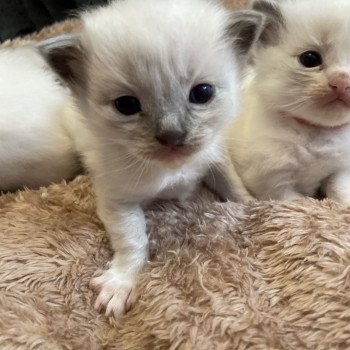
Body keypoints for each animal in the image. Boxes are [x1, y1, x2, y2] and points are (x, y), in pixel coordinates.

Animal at [227, 0, 350, 204]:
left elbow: (339, 190)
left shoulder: (340, 170)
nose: (342, 82)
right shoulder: (274, 185)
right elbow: (299, 202)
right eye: (310, 59)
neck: (314, 131)